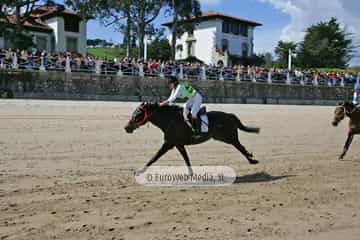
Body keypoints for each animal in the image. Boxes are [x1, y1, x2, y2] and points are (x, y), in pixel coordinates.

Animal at [124, 102, 258, 173]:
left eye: (137, 114)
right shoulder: (178, 144)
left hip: (229, 137)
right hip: (226, 137)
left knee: (240, 147)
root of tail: (230, 115)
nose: (126, 127)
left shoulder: (168, 143)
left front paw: (140, 171)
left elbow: (154, 157)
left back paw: (252, 159)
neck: (169, 120)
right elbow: (186, 158)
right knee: (240, 146)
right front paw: (191, 173)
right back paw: (251, 158)